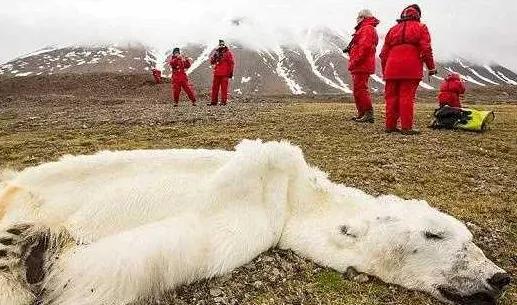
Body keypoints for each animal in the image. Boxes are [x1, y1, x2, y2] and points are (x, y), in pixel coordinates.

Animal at [0, 139, 510, 302]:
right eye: (435, 233)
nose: (499, 277)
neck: (293, 195)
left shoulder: (256, 222)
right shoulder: (259, 191)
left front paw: (38, 253)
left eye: (469, 237)